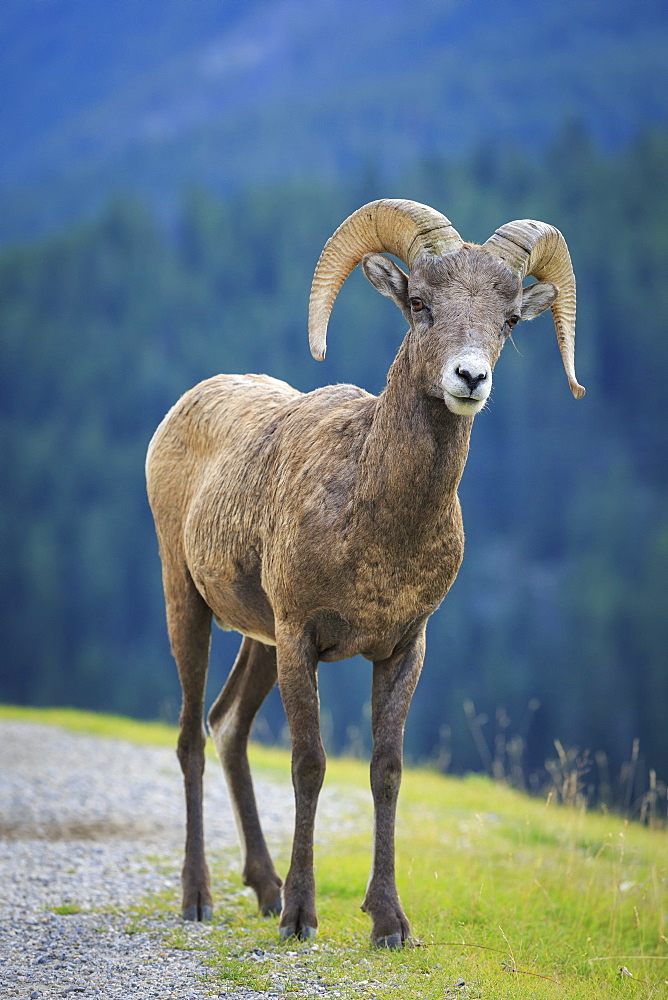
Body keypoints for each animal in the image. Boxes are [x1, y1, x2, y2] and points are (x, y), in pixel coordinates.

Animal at [146, 195, 584, 944]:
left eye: (507, 320)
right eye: (420, 304)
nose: (470, 379)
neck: (372, 522)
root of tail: (180, 411)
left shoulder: (403, 648)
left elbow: (386, 772)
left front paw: (389, 924)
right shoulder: (301, 638)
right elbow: (310, 765)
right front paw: (301, 917)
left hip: (257, 639)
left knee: (228, 727)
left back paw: (262, 888)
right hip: (189, 604)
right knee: (189, 739)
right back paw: (200, 898)